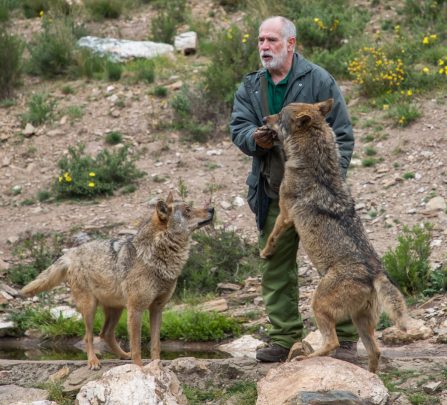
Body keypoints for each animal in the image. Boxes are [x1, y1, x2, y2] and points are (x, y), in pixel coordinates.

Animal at [21, 193, 214, 370]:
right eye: (188, 210)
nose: (212, 209)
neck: (156, 255)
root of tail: (72, 253)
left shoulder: (157, 308)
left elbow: (155, 344)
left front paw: (157, 365)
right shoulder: (136, 309)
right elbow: (136, 346)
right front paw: (139, 368)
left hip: (116, 310)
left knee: (105, 334)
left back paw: (123, 355)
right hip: (91, 308)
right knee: (88, 336)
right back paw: (93, 362)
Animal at [260, 99, 410, 370]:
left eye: (280, 114)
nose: (265, 118)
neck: (315, 161)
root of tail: (375, 272)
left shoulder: (284, 215)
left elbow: (272, 237)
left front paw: (265, 253)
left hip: (318, 305)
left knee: (333, 343)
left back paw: (306, 357)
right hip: (361, 321)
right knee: (375, 351)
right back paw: (371, 376)